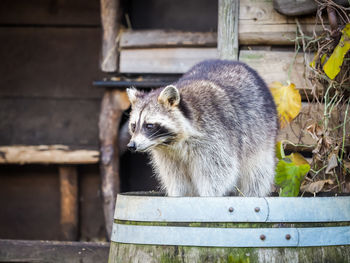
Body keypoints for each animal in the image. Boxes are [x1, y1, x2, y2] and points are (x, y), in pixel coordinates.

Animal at [127, 59, 278, 196]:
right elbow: (176, 177)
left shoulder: (215, 137)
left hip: (262, 135)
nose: (131, 145)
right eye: (134, 126)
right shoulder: (168, 155)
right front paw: (177, 194)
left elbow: (219, 172)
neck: (171, 142)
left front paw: (208, 195)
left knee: (257, 173)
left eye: (149, 125)